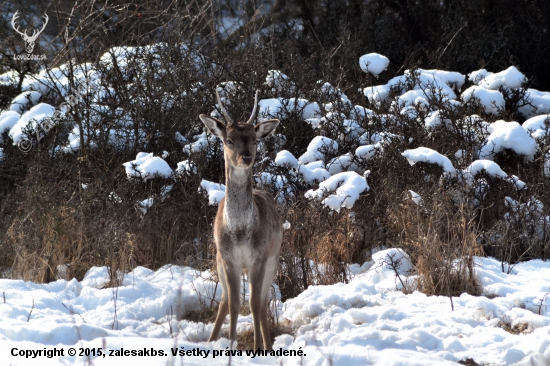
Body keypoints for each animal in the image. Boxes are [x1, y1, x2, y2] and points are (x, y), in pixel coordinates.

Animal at [199, 88, 284, 348]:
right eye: (229, 140)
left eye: (255, 140)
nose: (246, 157)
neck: (239, 231)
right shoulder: (228, 259)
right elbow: (236, 304)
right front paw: (230, 345)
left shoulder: (260, 257)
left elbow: (254, 304)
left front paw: (257, 348)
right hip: (217, 260)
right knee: (225, 300)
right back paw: (211, 340)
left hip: (274, 261)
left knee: (263, 302)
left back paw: (267, 345)